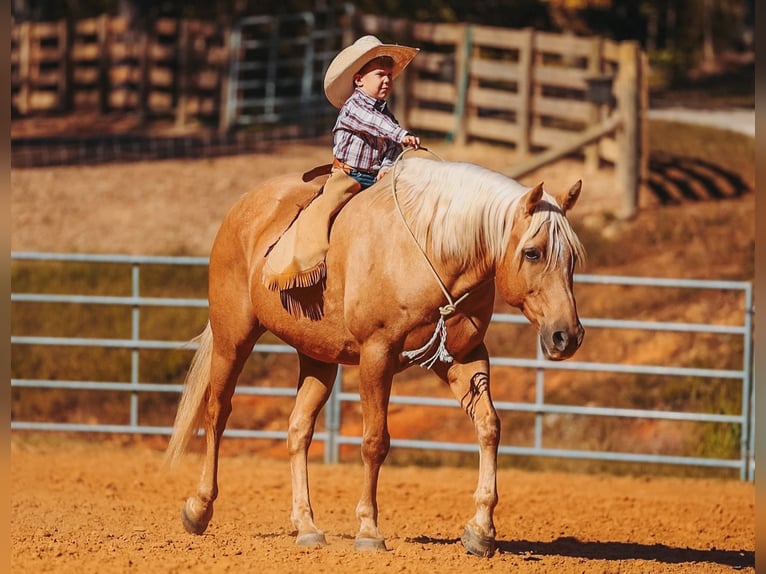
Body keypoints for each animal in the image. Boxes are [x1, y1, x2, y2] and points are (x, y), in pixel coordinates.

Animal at [164, 153, 586, 557]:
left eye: (572, 259)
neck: (431, 249)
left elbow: (489, 426)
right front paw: (368, 531)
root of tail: (245, 207)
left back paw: (307, 527)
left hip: (318, 358)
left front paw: (481, 531)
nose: (567, 336)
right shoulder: (377, 355)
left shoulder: (464, 357)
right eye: (532, 253)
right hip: (233, 338)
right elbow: (375, 441)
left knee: (298, 430)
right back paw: (199, 509)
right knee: (217, 412)